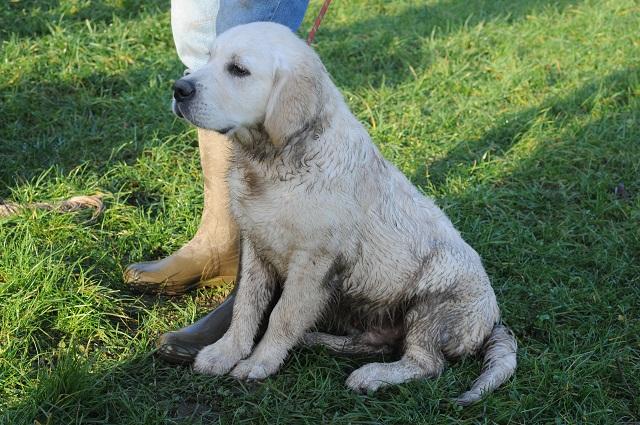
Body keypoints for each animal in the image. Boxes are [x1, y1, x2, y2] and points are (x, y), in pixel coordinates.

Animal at [172, 20, 516, 404]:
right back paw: (319, 340)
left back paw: (373, 376)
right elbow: (247, 306)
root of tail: (494, 322)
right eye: (208, 58)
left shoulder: (313, 262)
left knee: (426, 363)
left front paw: (259, 362)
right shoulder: (256, 246)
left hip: (433, 303)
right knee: (373, 343)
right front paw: (225, 352)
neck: (275, 162)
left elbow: (282, 314)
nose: (179, 89)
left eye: (238, 70)